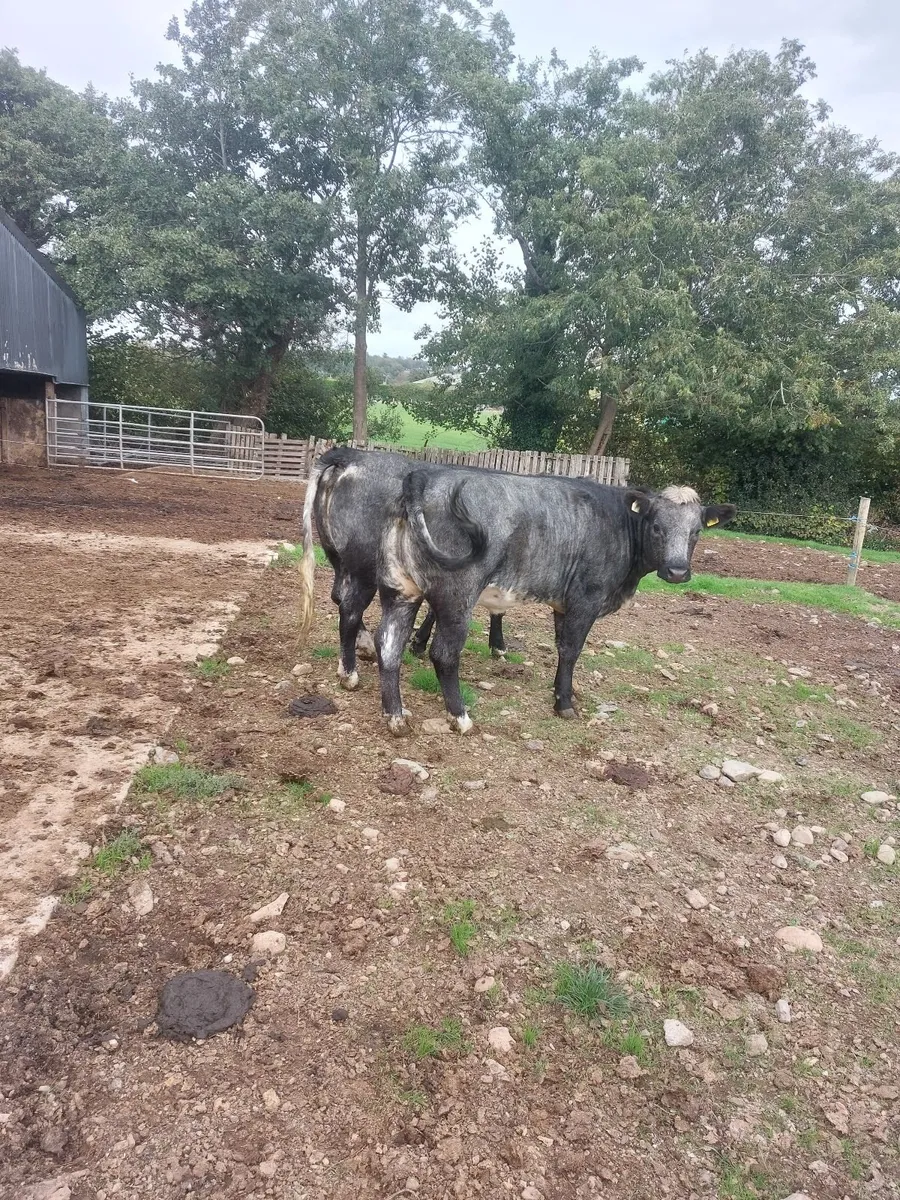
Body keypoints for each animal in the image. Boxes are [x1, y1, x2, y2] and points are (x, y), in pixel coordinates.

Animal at [374, 470, 735, 733]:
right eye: (657, 526)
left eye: (697, 532)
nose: (677, 571)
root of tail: (423, 475)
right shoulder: (585, 599)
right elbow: (572, 650)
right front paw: (564, 703)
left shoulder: (564, 603)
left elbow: (562, 646)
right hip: (457, 596)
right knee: (444, 654)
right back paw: (460, 716)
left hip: (401, 589)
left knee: (388, 644)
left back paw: (396, 716)